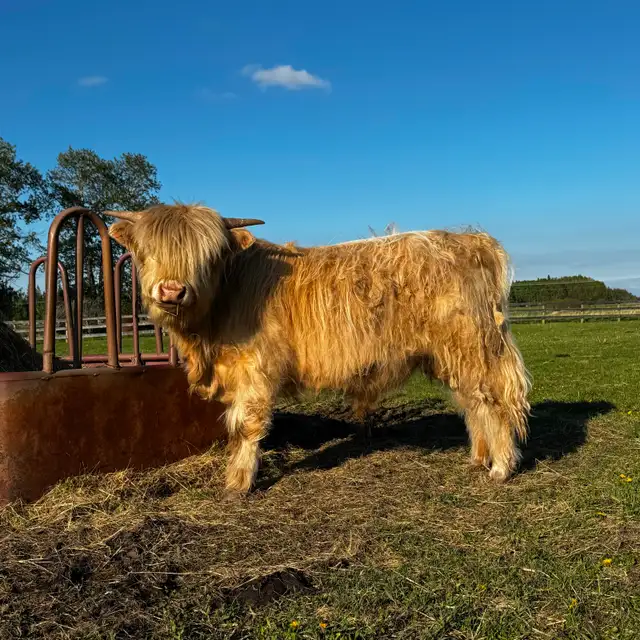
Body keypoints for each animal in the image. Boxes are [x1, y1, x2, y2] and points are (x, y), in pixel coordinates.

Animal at [107, 204, 531, 496]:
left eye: (208, 255)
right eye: (147, 251)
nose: (171, 290)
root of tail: (471, 239)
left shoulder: (255, 369)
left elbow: (246, 425)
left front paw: (238, 484)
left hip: (475, 347)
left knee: (492, 401)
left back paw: (501, 467)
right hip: (453, 355)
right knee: (472, 402)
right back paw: (479, 459)